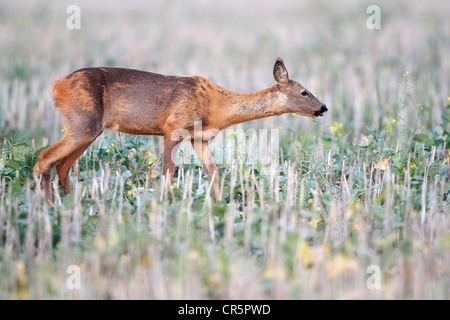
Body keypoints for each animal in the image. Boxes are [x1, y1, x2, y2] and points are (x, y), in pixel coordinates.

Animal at [38, 57, 326, 202]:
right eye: (304, 91)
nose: (323, 107)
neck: (216, 107)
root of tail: (55, 86)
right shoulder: (172, 128)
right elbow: (167, 172)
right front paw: (165, 208)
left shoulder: (199, 138)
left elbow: (213, 173)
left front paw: (221, 208)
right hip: (83, 122)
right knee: (44, 158)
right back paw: (49, 207)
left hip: (90, 129)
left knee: (62, 165)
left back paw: (70, 205)